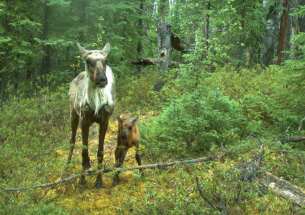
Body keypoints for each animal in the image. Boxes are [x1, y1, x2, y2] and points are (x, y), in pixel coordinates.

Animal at [67, 41, 115, 186]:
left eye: (106, 60)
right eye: (88, 61)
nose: (102, 79)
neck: (96, 105)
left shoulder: (105, 120)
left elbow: (100, 151)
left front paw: (99, 181)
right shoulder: (84, 119)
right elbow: (84, 151)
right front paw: (82, 181)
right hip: (73, 112)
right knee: (72, 140)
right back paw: (67, 165)